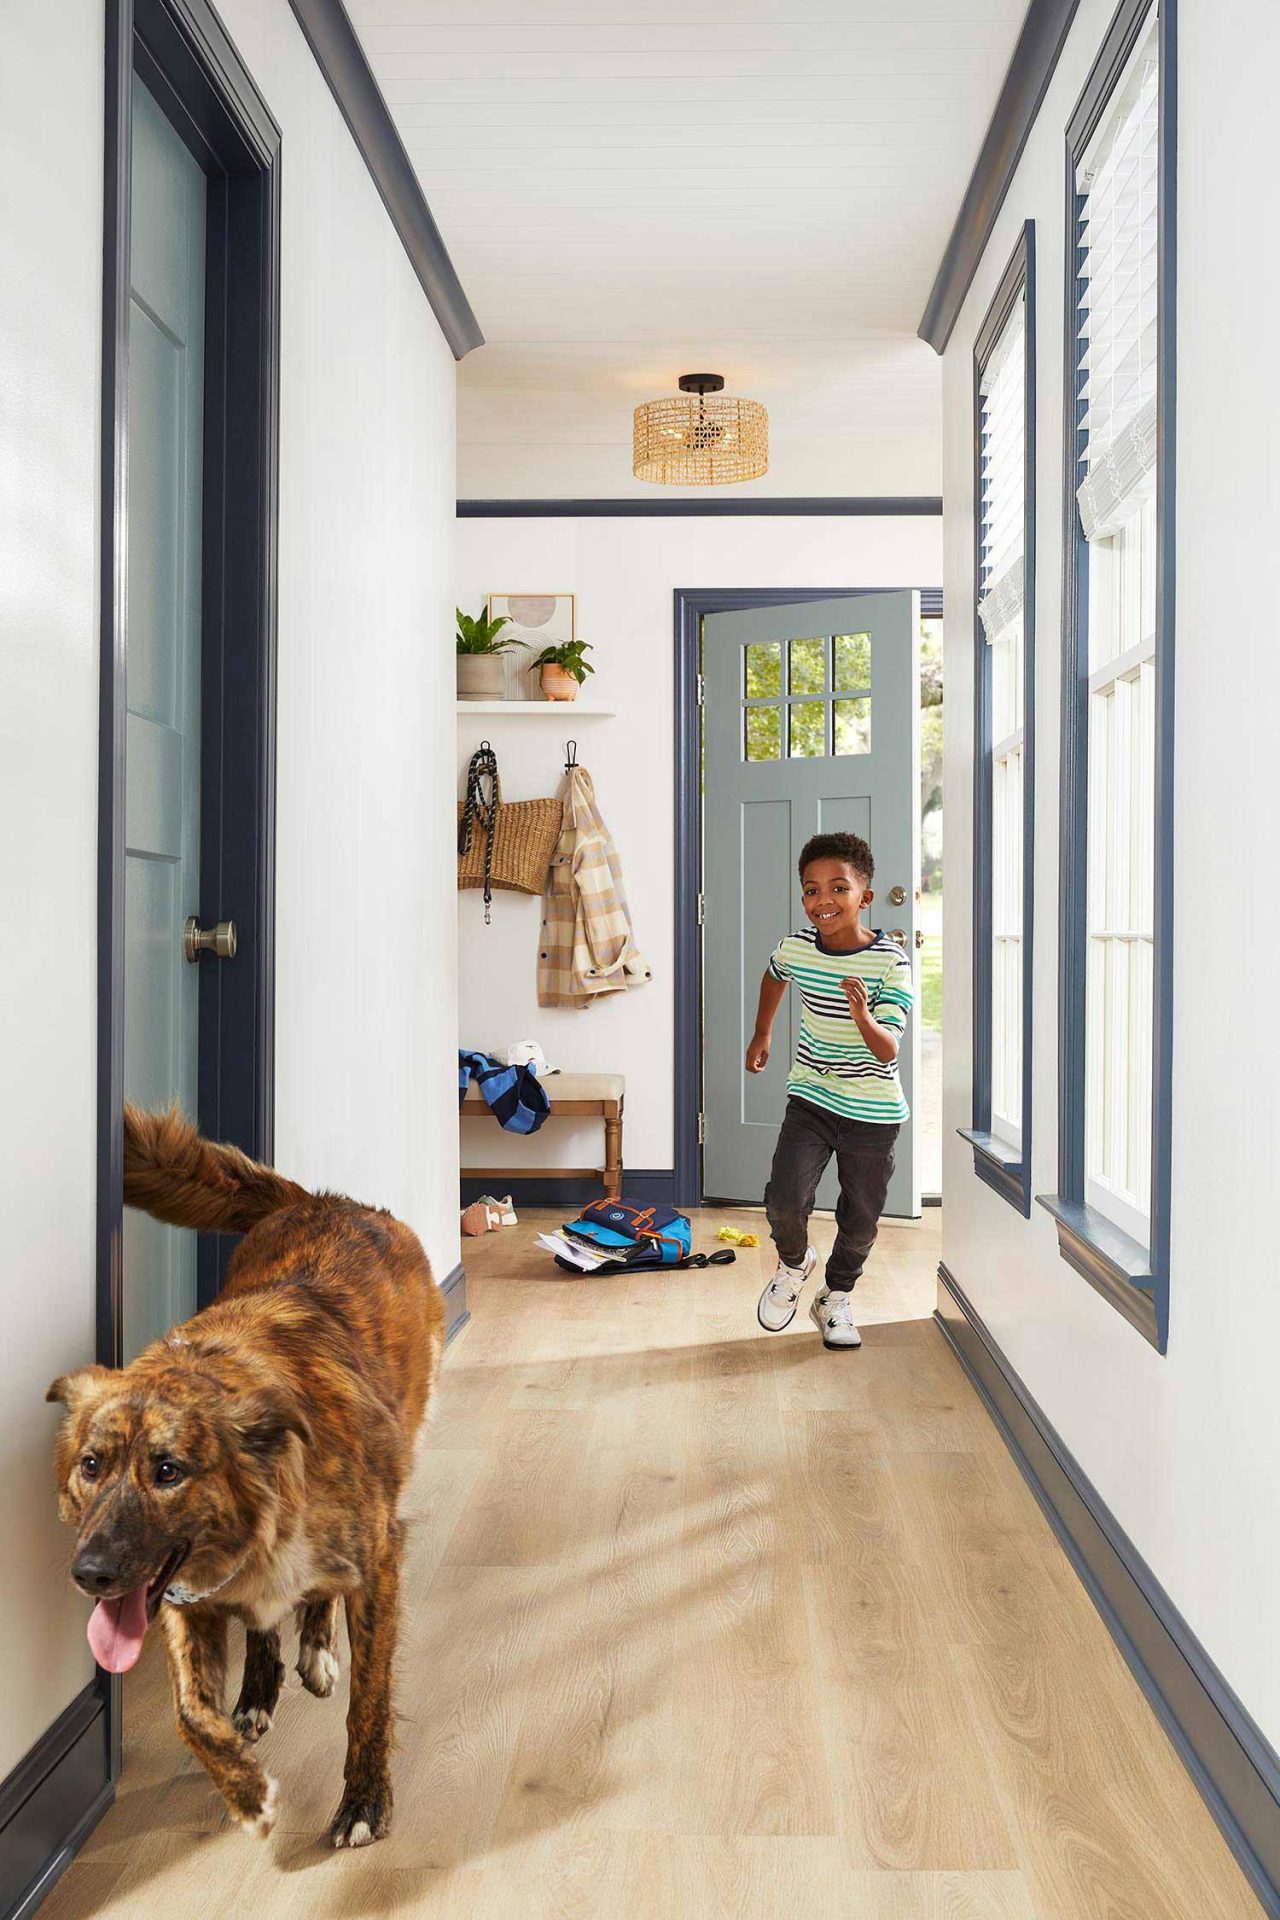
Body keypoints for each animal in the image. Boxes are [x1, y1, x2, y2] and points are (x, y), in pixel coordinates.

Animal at [47, 1113, 449, 1843]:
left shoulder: (378, 1562)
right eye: (90, 1466)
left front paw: (363, 1802)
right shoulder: (183, 1599)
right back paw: (263, 1689)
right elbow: (189, 1712)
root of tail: (328, 1201)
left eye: (168, 1471)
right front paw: (246, 1789)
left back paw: (314, 1651)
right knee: (267, 1622)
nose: (90, 1575)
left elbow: (369, 1700)